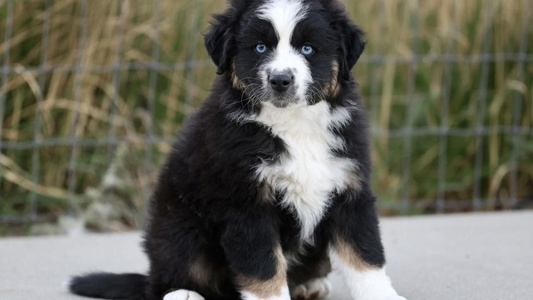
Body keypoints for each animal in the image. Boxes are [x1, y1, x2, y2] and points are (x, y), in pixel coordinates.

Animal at [69, 0, 404, 300]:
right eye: (260, 48)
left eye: (308, 49)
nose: (280, 79)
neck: (294, 125)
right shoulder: (246, 204)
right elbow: (264, 269)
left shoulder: (350, 189)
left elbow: (364, 258)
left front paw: (382, 296)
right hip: (179, 226)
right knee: (166, 277)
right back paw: (182, 293)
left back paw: (309, 286)